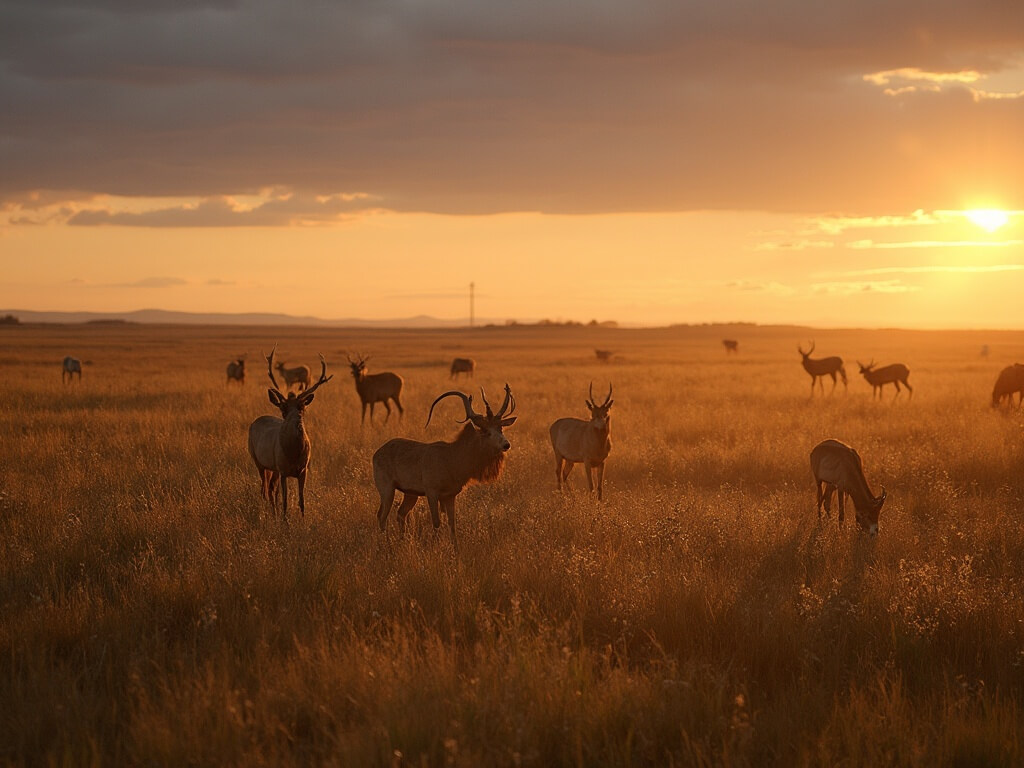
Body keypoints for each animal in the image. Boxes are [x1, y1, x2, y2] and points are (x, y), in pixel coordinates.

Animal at [247, 347, 332, 518]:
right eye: (283, 408)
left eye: (302, 406)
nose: (296, 421)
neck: (293, 454)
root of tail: (256, 420)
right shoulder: (283, 470)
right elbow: (285, 500)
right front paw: (285, 520)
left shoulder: (303, 470)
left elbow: (302, 500)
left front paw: (303, 520)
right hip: (257, 459)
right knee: (265, 488)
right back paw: (268, 511)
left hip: (273, 468)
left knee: (271, 489)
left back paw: (273, 512)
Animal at [372, 384, 517, 549]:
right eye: (486, 431)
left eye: (501, 428)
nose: (506, 444)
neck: (455, 463)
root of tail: (375, 454)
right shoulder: (431, 490)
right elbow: (436, 522)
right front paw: (435, 548)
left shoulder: (450, 495)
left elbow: (452, 523)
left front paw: (456, 549)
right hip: (386, 487)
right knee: (381, 515)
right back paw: (386, 545)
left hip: (411, 493)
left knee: (400, 513)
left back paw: (402, 541)